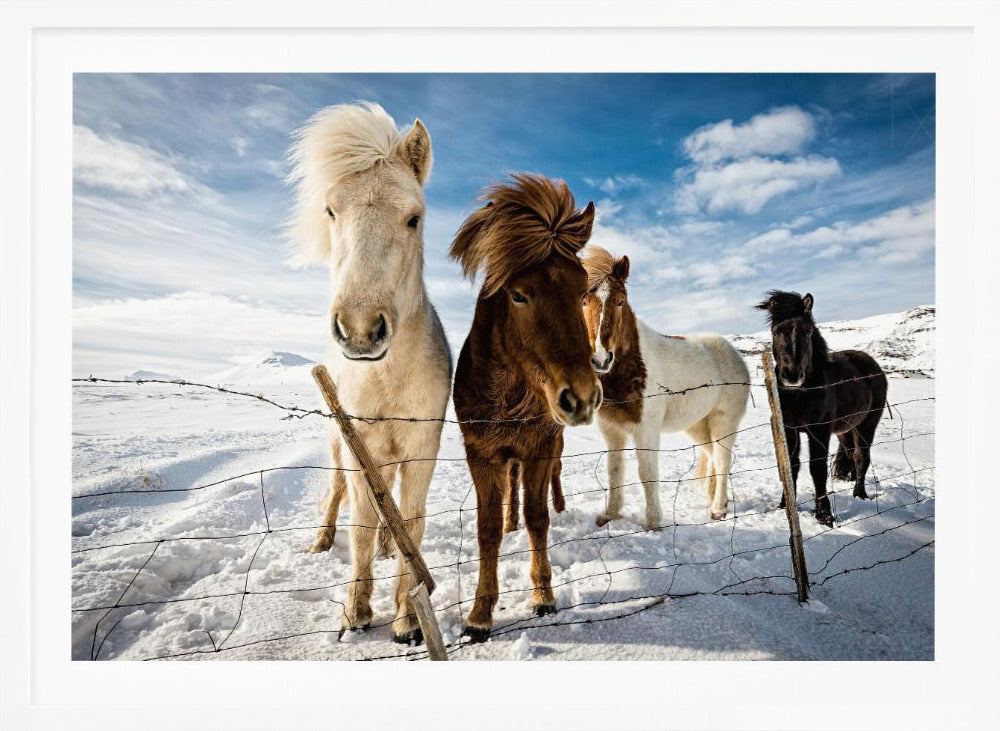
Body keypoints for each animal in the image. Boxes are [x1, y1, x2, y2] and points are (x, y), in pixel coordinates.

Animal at [288, 102, 452, 644]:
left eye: (414, 218)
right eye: (331, 211)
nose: (360, 330)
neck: (387, 379)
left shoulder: (421, 447)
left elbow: (412, 520)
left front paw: (407, 619)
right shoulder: (360, 444)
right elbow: (358, 524)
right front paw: (355, 613)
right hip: (340, 445)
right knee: (338, 492)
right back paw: (321, 542)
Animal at [451, 174, 601, 642]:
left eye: (582, 291)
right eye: (518, 295)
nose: (581, 397)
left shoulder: (539, 446)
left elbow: (539, 518)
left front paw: (543, 595)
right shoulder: (481, 453)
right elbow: (486, 529)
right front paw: (479, 613)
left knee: (551, 483)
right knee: (511, 494)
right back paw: (509, 520)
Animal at [582, 246, 750, 527]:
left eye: (620, 301)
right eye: (583, 301)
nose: (601, 359)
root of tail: (734, 354)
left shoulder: (646, 429)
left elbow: (646, 472)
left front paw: (653, 523)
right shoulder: (611, 429)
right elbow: (614, 470)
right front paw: (610, 514)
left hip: (724, 422)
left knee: (723, 458)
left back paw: (718, 509)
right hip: (698, 425)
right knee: (712, 456)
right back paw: (714, 500)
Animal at [756, 290, 888, 527]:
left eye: (808, 332)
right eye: (775, 331)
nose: (792, 376)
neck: (800, 395)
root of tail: (873, 366)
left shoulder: (819, 431)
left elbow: (816, 469)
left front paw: (824, 515)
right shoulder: (789, 430)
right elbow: (791, 467)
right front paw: (785, 506)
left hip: (867, 424)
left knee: (862, 457)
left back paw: (860, 494)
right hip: (845, 429)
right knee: (851, 454)